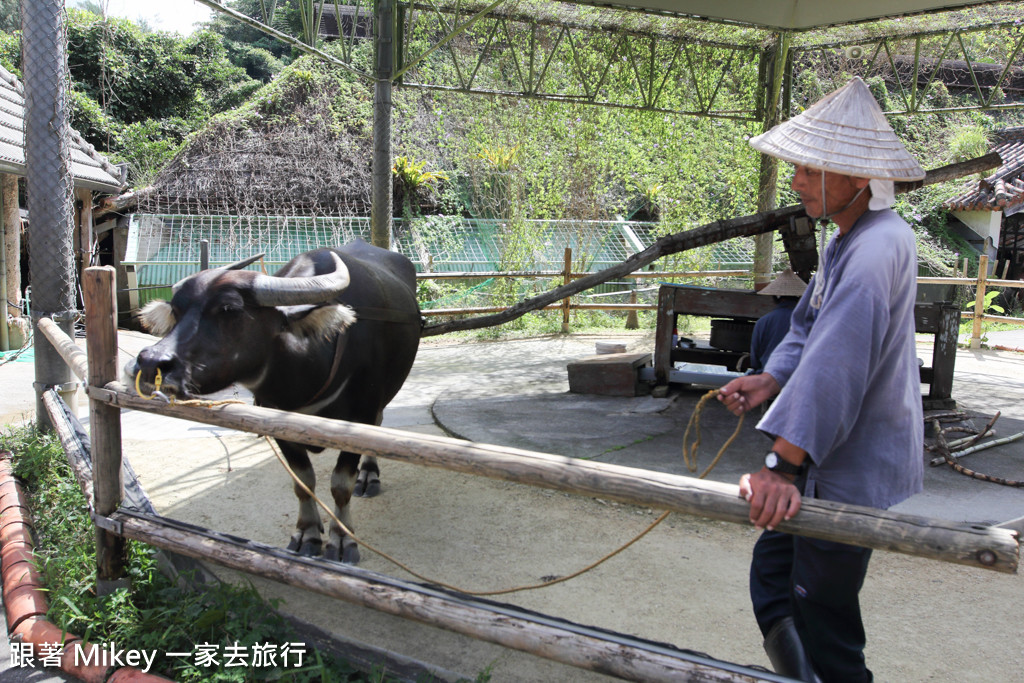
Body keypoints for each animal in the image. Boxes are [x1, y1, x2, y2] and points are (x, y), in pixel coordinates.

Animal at [125, 237, 421, 565]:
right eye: (176, 310)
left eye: (229, 309)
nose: (151, 362)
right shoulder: (276, 419)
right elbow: (303, 481)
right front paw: (307, 534)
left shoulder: (360, 415)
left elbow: (340, 483)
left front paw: (342, 540)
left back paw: (368, 476)